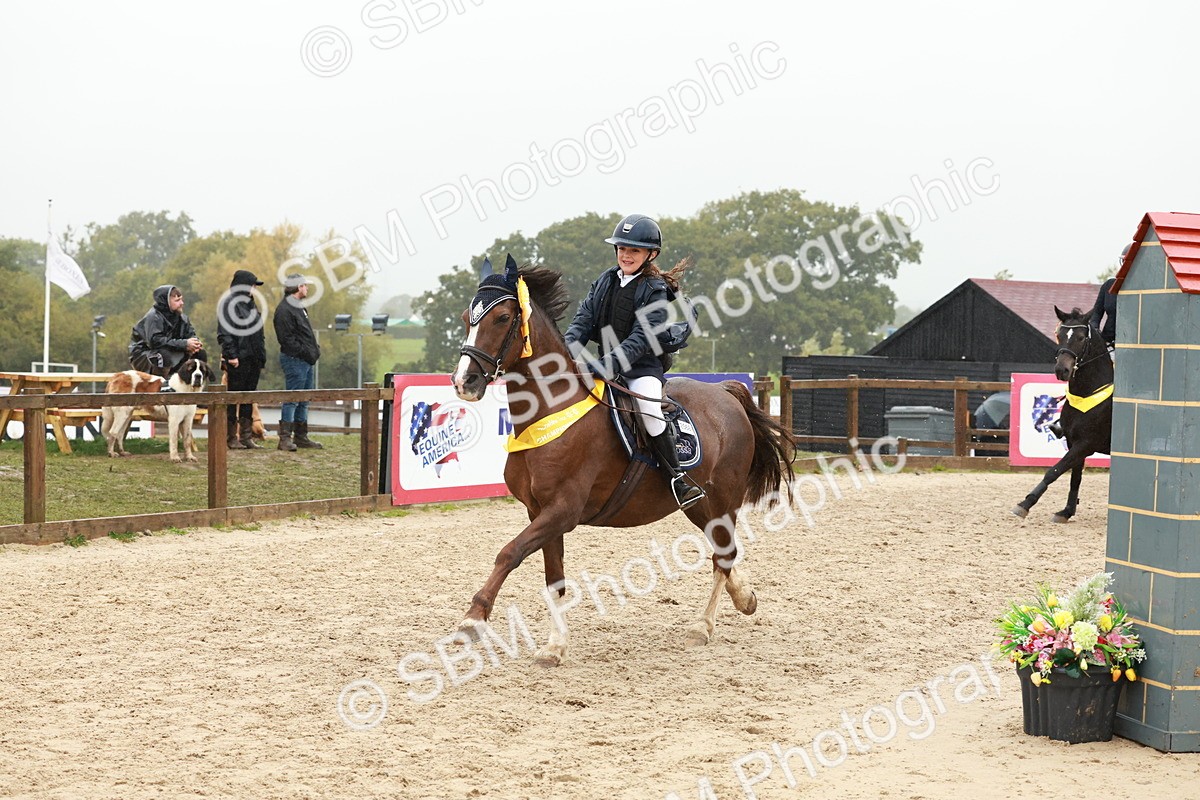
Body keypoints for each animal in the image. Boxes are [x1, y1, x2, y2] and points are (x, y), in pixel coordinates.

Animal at [450, 259, 797, 664]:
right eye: (467, 318)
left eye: (503, 318)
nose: (464, 382)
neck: (550, 411)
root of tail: (724, 392)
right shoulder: (540, 512)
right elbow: (554, 579)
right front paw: (555, 646)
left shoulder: (563, 510)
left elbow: (509, 553)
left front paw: (472, 619)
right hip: (698, 503)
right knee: (722, 551)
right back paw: (744, 597)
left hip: (725, 497)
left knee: (722, 555)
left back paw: (702, 626)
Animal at [1012, 306, 1113, 522]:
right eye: (1059, 335)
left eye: (1082, 338)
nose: (1062, 370)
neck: (1087, 392)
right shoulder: (1074, 442)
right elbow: (1075, 478)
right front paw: (1066, 512)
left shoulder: (1086, 443)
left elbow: (1054, 471)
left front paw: (1025, 503)